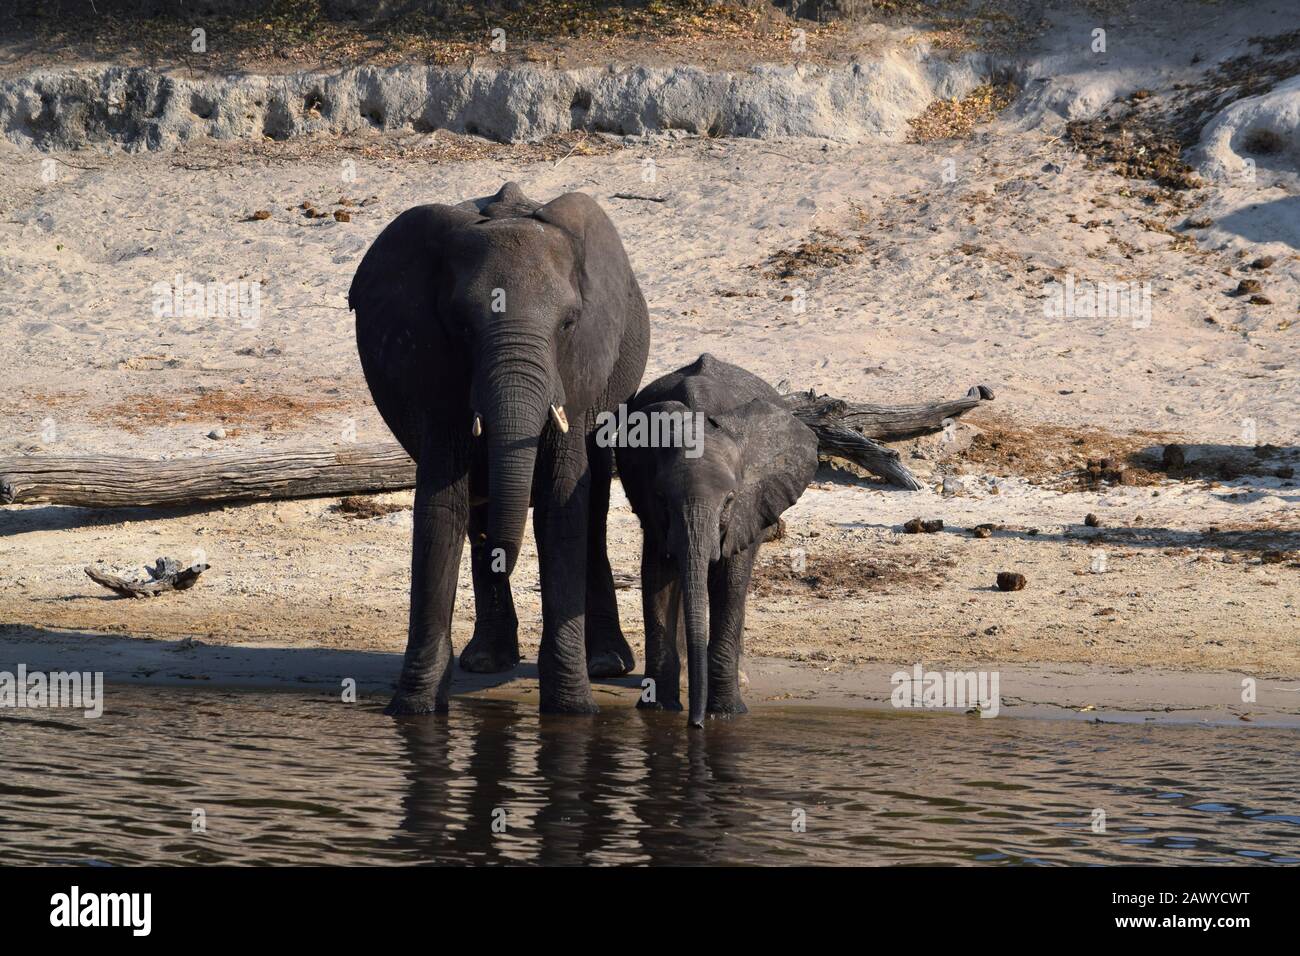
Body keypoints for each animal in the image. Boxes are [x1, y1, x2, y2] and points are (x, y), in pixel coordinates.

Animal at [351, 183, 650, 712]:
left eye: (569, 324)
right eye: (461, 326)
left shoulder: (579, 368)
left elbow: (561, 502)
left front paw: (571, 710)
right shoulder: (433, 371)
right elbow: (441, 505)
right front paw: (414, 709)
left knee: (593, 499)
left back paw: (607, 663)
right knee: (477, 512)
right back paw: (488, 660)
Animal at [616, 356, 816, 723]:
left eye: (729, 501)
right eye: (662, 499)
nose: (694, 724)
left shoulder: (747, 508)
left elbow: (730, 581)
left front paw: (725, 714)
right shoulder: (650, 505)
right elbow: (658, 577)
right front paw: (659, 710)